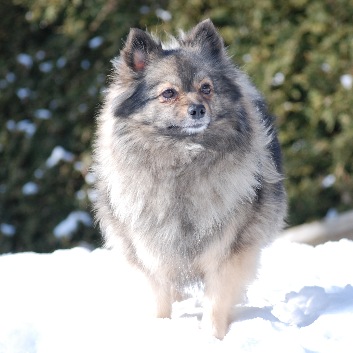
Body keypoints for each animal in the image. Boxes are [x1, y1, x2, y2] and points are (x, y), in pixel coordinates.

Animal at [93, 19, 286, 338]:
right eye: (169, 93)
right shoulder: (149, 252)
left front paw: (213, 336)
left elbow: (216, 299)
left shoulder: (227, 250)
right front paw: (160, 328)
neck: (183, 162)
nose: (198, 109)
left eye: (206, 88)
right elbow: (158, 297)